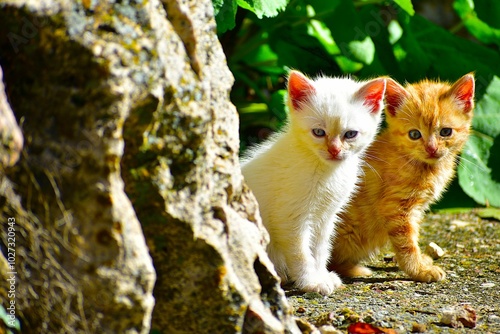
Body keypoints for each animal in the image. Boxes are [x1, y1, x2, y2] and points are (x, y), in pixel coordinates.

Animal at [240, 71, 384, 294]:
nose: (334, 150)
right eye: (318, 132)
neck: (326, 171)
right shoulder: (289, 217)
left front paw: (322, 275)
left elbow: (319, 249)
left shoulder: (326, 216)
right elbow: (301, 252)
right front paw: (311, 281)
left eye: (350, 134)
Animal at [330, 73, 474, 282]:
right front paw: (418, 270)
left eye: (446, 132)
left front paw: (421, 262)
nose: (431, 148)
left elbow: (413, 236)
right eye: (414, 134)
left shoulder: (415, 211)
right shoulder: (396, 207)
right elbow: (406, 243)